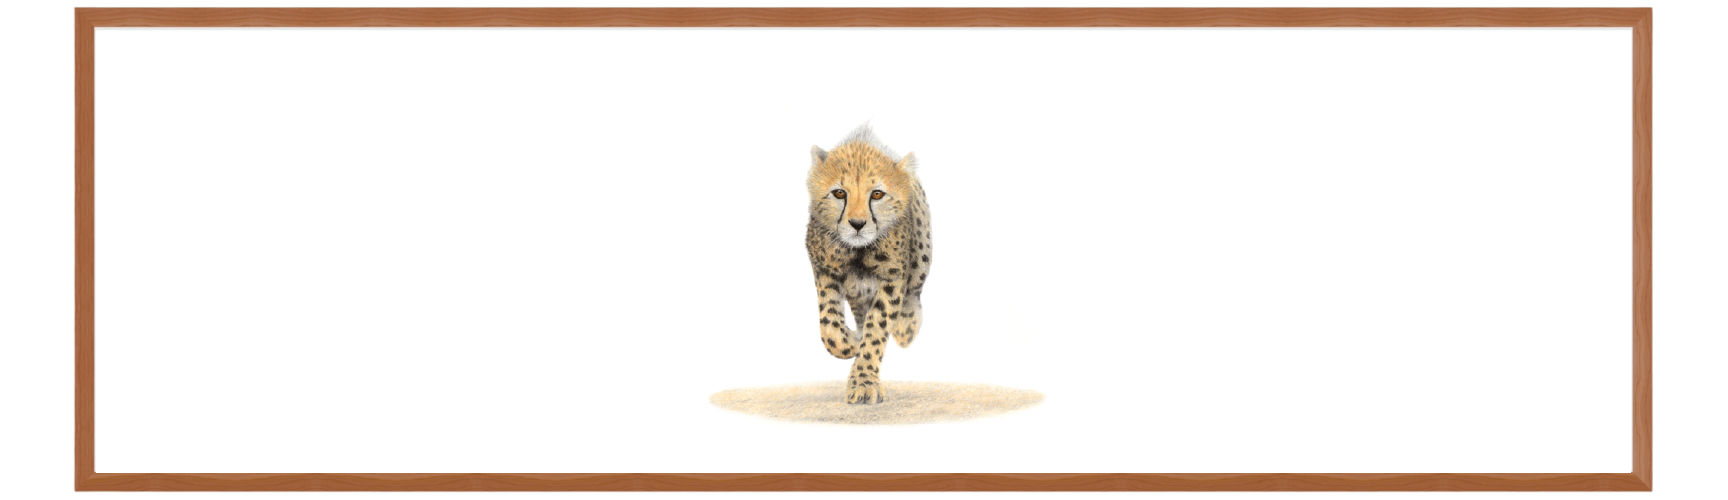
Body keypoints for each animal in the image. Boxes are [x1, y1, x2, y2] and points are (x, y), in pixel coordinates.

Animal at [804, 124, 932, 405]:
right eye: (839, 193)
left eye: (877, 194)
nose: (857, 224)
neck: (858, 252)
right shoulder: (824, 270)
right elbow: (830, 328)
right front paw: (852, 342)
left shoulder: (892, 278)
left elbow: (878, 327)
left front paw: (863, 383)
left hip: (922, 253)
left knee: (915, 290)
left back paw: (907, 328)